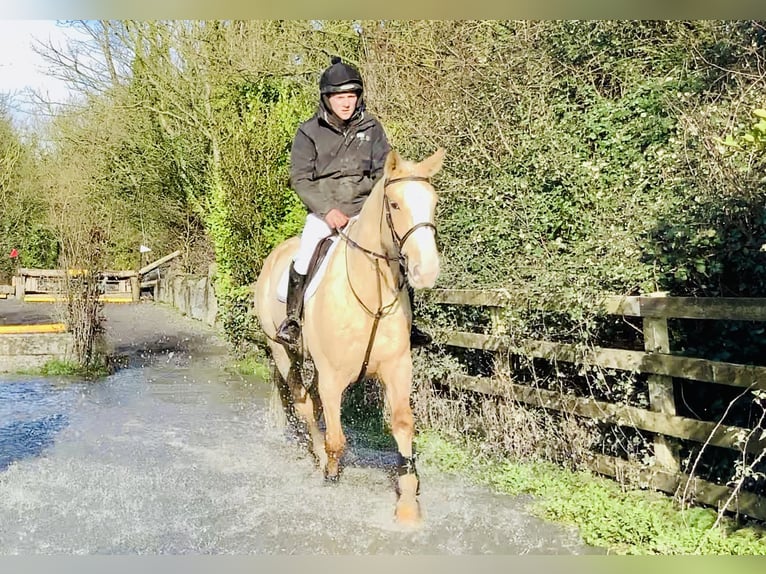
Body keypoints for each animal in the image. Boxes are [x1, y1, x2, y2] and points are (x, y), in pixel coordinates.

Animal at [253, 148, 445, 525]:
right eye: (395, 204)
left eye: (433, 202)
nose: (426, 270)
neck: (371, 296)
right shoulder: (332, 378)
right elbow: (336, 439)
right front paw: (330, 476)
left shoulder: (398, 369)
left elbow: (403, 426)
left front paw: (407, 503)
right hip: (283, 353)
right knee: (303, 403)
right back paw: (316, 455)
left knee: (310, 402)